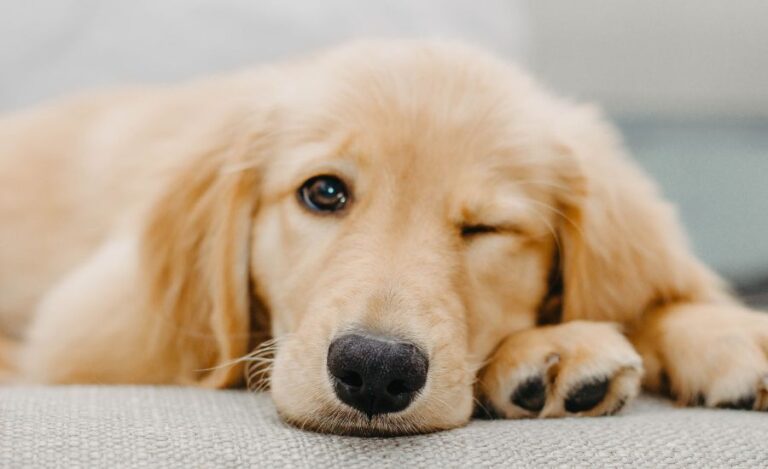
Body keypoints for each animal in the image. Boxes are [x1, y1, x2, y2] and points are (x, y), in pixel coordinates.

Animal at [1, 41, 768, 436]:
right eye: (324, 192)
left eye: (486, 228)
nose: (373, 368)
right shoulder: (89, 335)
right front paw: (550, 347)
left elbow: (657, 296)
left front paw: (727, 331)